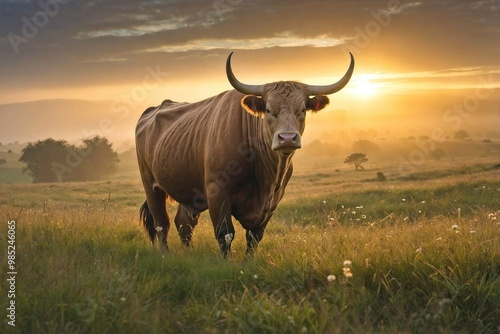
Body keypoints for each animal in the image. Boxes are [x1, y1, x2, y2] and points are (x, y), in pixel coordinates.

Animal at [137, 52, 354, 258]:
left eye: (302, 110)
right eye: (268, 110)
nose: (287, 138)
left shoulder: (272, 202)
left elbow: (254, 237)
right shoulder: (217, 192)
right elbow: (225, 234)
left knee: (184, 223)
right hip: (151, 186)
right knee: (161, 224)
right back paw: (165, 255)